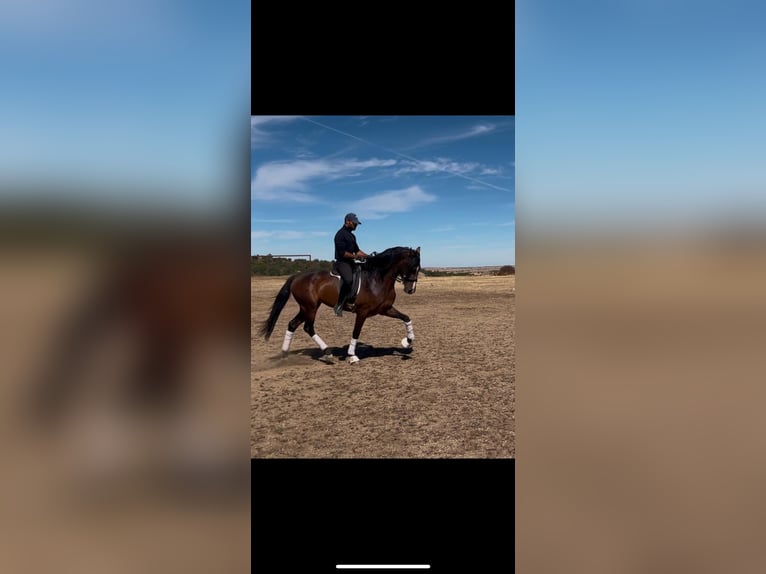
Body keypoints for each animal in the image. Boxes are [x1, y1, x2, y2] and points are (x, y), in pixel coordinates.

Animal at [260, 246, 421, 364]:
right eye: (413, 267)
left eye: (418, 268)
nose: (411, 290)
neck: (377, 279)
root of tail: (297, 276)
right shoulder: (362, 312)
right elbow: (356, 332)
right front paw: (352, 356)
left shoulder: (385, 309)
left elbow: (406, 318)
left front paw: (407, 341)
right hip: (310, 307)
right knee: (308, 327)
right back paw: (327, 352)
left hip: (305, 308)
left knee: (293, 324)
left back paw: (285, 354)